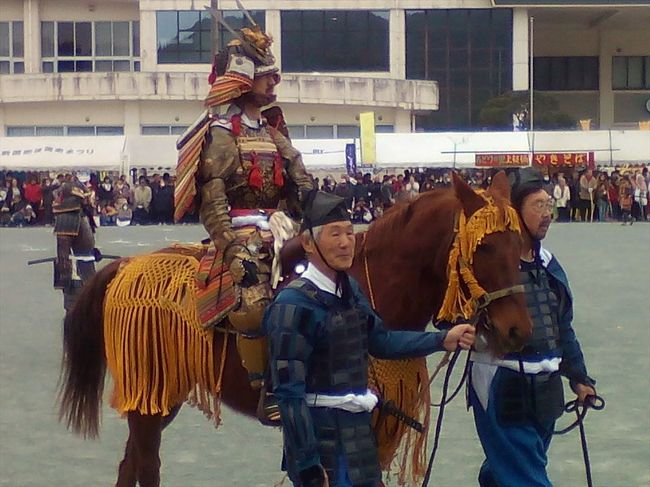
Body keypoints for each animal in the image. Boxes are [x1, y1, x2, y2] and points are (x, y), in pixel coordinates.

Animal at [58, 172, 528, 487]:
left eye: (519, 244)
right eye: (485, 247)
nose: (517, 331)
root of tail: (126, 266)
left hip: (162, 392)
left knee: (131, 465)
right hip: (150, 394)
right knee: (146, 464)